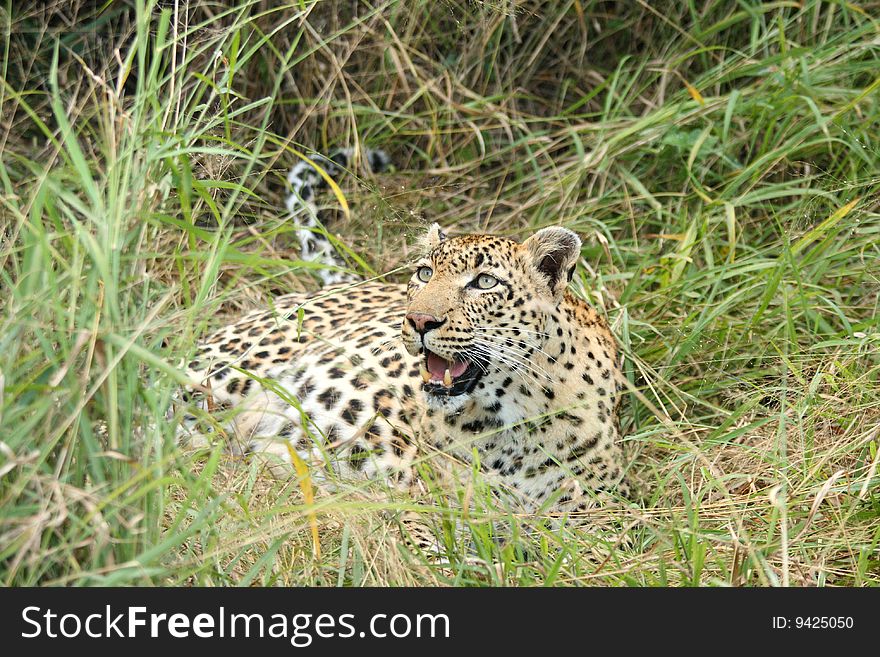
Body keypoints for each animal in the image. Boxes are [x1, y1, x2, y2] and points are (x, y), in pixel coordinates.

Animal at [179, 220, 632, 524]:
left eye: (485, 282)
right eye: (425, 273)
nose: (418, 320)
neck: (509, 422)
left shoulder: (602, 517)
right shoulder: (423, 495)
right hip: (226, 374)